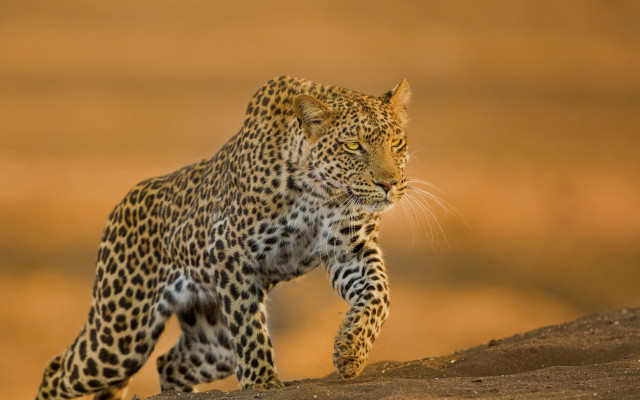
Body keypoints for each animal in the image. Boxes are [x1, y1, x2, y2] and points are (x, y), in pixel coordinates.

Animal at [36, 75, 412, 399]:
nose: (389, 183)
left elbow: (378, 293)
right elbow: (248, 327)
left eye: (397, 143)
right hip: (121, 333)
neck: (321, 192)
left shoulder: (350, 249)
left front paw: (351, 348)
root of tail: (122, 203)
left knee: (169, 363)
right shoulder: (231, 251)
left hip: (211, 340)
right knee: (57, 369)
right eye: (353, 146)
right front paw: (262, 381)